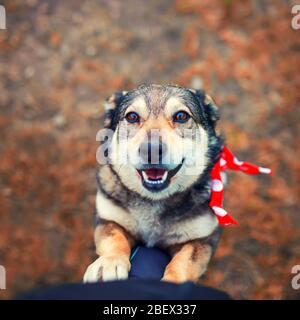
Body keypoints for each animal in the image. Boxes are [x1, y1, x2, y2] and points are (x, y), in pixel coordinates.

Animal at [83, 84, 224, 282]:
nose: (152, 150)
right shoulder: (108, 217)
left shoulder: (202, 240)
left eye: (181, 116)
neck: (154, 200)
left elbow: (185, 261)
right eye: (132, 116)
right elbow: (113, 237)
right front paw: (109, 262)